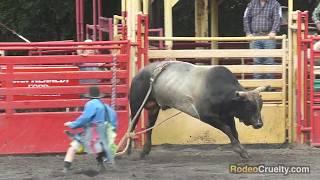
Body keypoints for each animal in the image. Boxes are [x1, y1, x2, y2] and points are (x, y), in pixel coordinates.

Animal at [129, 61, 268, 159]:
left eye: (260, 106)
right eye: (249, 107)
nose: (259, 124)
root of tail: (140, 73)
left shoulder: (227, 115)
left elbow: (234, 132)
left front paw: (242, 151)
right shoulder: (206, 116)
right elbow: (227, 129)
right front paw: (238, 149)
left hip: (153, 107)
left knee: (149, 126)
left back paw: (145, 151)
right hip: (136, 104)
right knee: (132, 124)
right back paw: (128, 150)